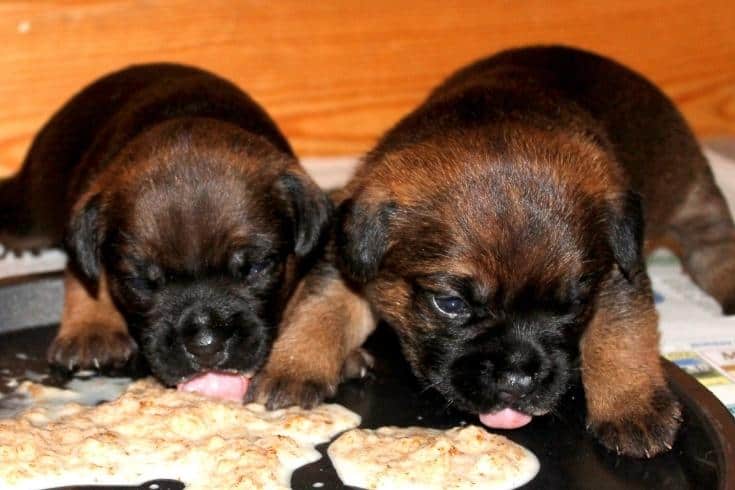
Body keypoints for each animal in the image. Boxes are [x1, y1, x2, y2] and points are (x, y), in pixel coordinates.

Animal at [0, 63, 330, 396]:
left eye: (257, 267)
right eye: (140, 283)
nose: (206, 344)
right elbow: (85, 275)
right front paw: (92, 328)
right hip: (35, 208)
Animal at [252, 46, 735, 456]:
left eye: (574, 304)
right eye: (450, 304)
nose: (518, 380)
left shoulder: (619, 273)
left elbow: (621, 335)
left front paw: (632, 405)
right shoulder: (345, 256)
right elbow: (321, 309)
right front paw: (295, 366)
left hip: (694, 195)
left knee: (713, 246)